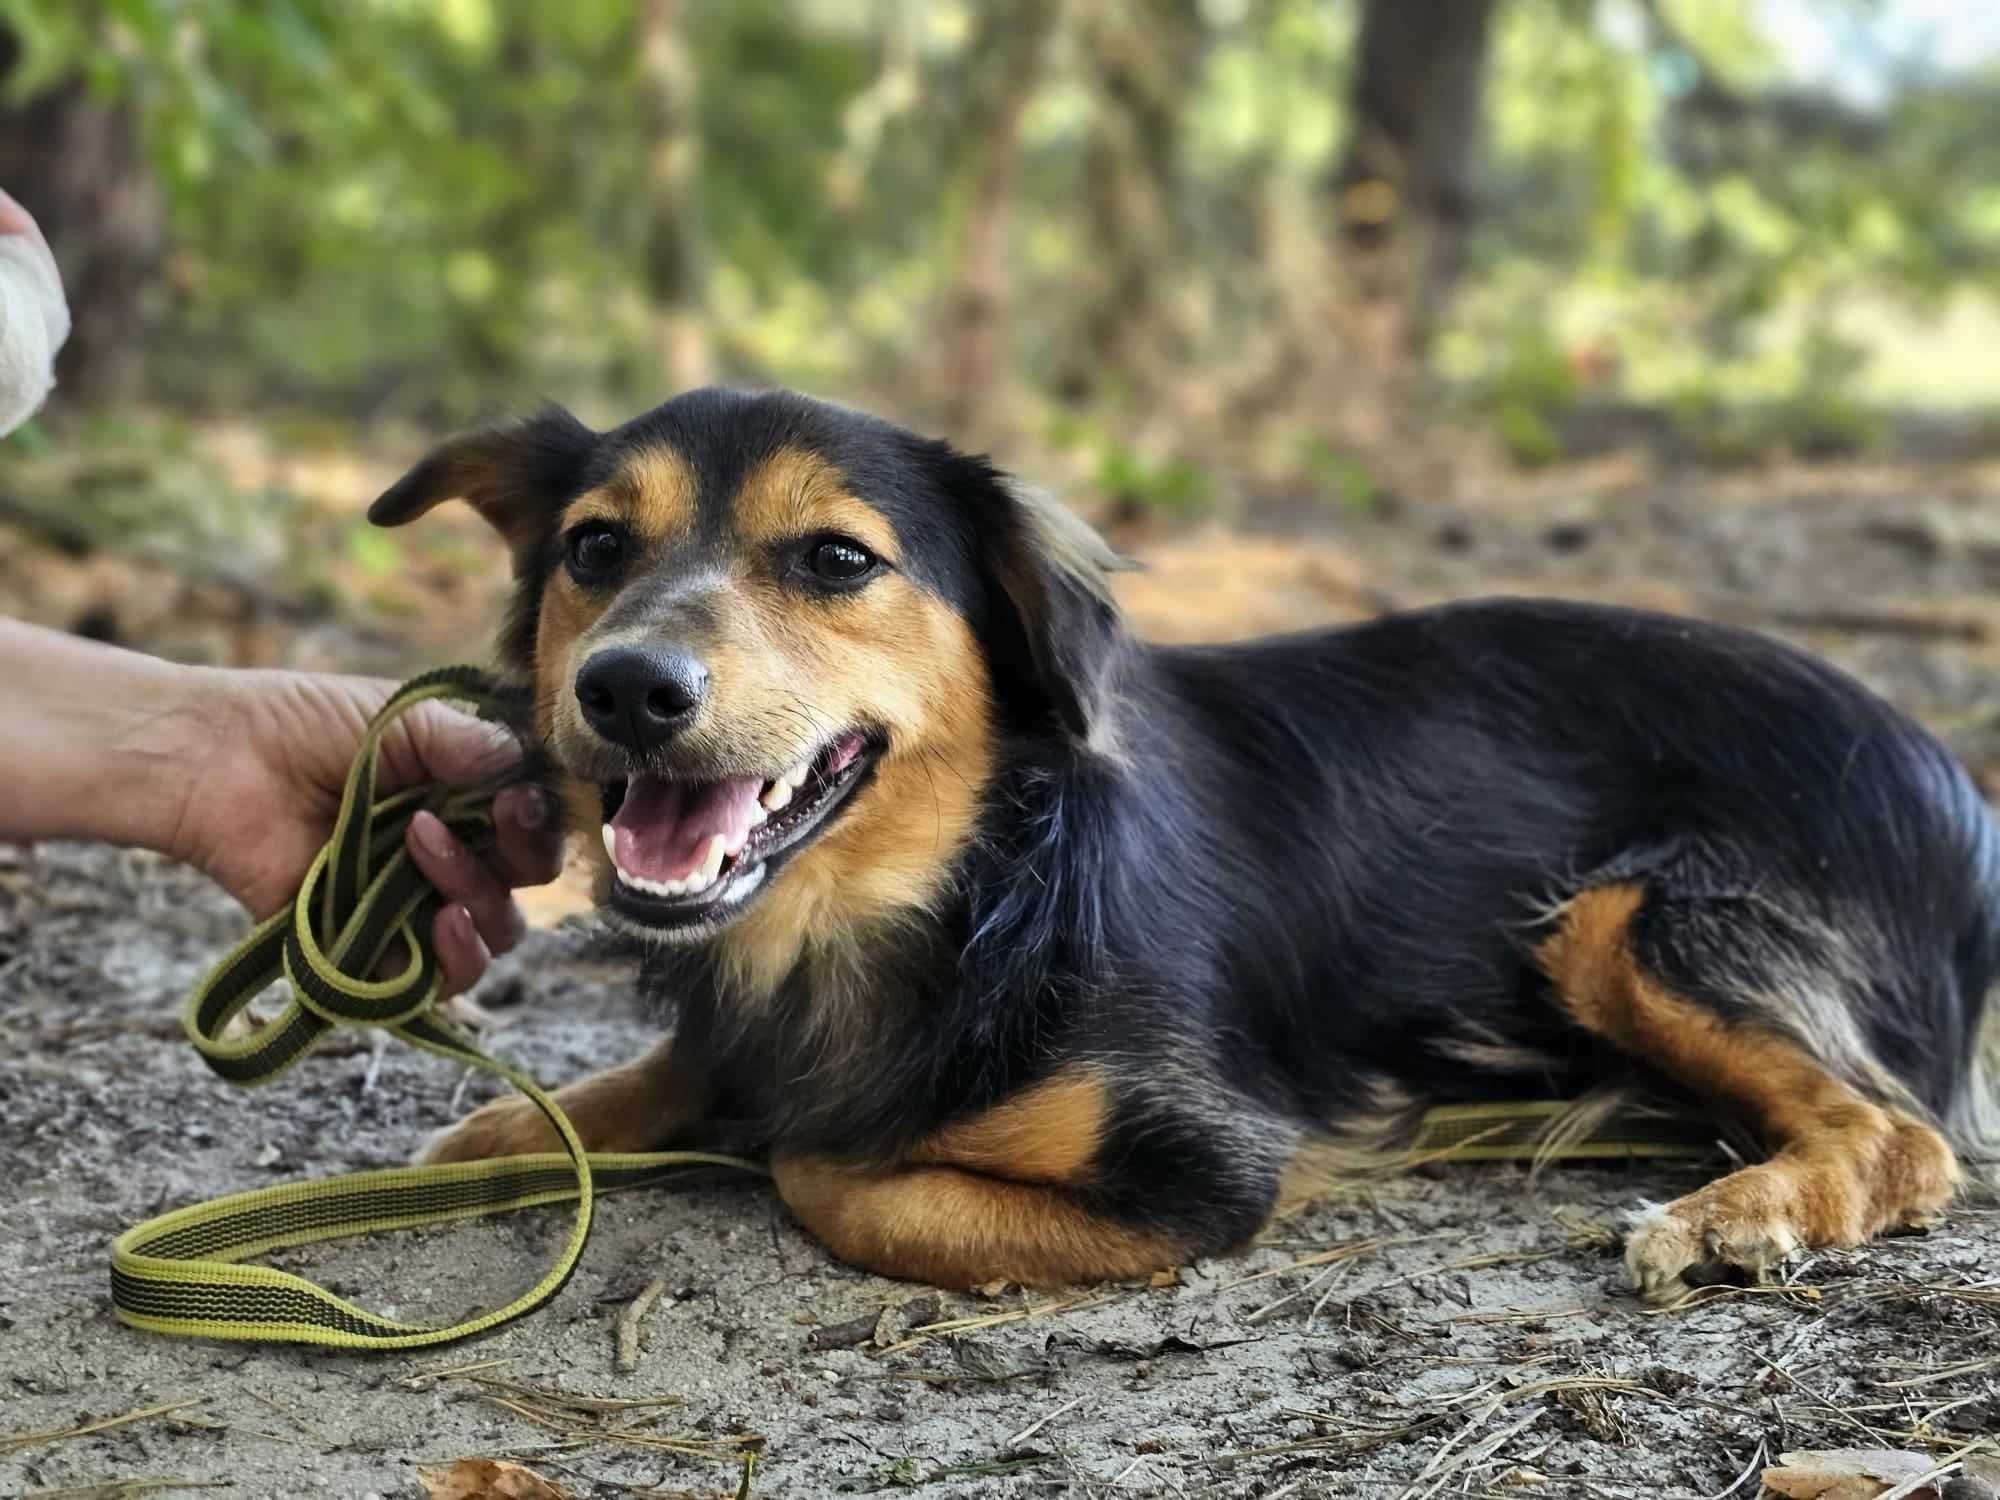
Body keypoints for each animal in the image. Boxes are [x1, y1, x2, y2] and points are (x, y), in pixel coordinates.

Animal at [372, 388, 2000, 1304]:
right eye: (594, 548)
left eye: (837, 559)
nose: (626, 691)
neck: (959, 888)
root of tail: (1951, 782)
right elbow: (580, 1104)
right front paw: (494, 1139)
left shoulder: (1204, 1168)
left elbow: (828, 1169)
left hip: (1620, 919)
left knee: (1900, 1135)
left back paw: (1731, 1216)